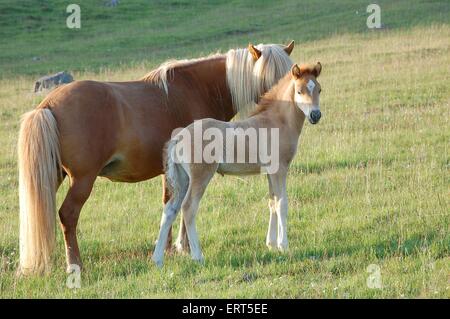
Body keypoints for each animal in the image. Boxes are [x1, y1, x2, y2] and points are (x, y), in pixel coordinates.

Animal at [17, 41, 294, 276]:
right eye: (268, 80)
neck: (197, 89)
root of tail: (48, 105)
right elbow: (182, 207)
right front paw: (184, 246)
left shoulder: (172, 172)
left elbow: (169, 205)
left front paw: (170, 247)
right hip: (83, 180)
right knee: (68, 215)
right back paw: (75, 265)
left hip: (52, 176)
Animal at [153, 63, 322, 268]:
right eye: (299, 91)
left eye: (319, 90)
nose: (315, 115)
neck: (277, 121)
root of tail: (178, 137)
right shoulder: (280, 169)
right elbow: (282, 204)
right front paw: (284, 245)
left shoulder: (269, 172)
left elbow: (272, 203)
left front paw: (271, 244)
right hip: (201, 176)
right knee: (188, 208)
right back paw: (198, 256)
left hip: (182, 179)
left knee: (170, 210)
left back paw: (158, 259)